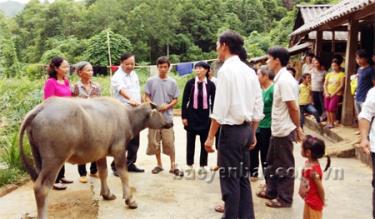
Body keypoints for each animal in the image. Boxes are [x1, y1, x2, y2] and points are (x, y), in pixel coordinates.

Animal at [19, 97, 173, 219]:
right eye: (161, 111)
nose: (170, 123)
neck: (128, 117)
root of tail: (42, 107)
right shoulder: (119, 150)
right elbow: (124, 174)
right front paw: (130, 200)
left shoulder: (101, 154)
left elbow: (103, 172)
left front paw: (107, 194)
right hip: (54, 160)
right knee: (41, 188)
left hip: (38, 157)